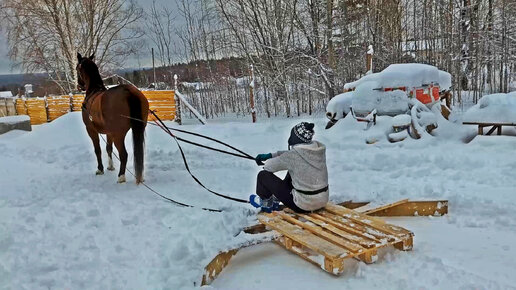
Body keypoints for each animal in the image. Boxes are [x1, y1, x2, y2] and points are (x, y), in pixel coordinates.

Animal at [76, 52, 149, 184]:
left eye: (77, 68)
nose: (80, 85)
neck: (94, 91)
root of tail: (128, 91)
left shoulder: (91, 130)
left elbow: (98, 150)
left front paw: (100, 169)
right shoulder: (109, 132)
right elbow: (108, 148)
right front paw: (110, 166)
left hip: (118, 135)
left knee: (123, 154)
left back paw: (121, 176)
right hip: (138, 129)